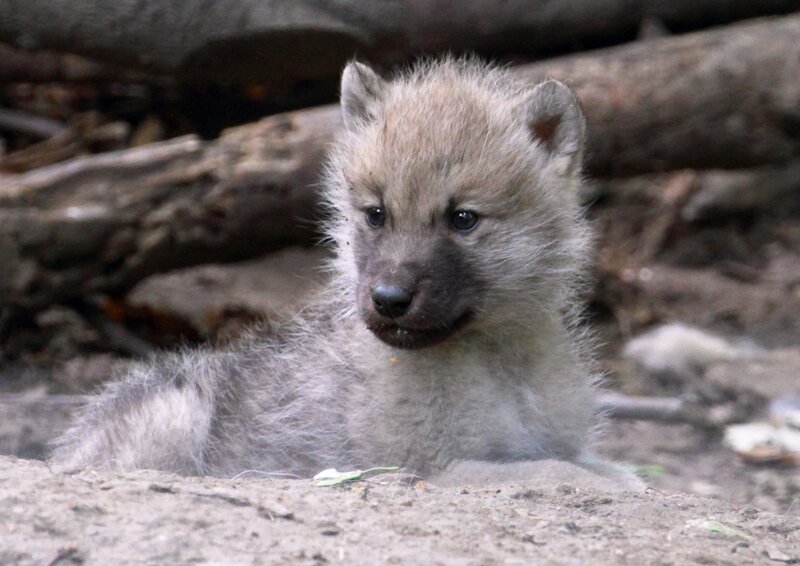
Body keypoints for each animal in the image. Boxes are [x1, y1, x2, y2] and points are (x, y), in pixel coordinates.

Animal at [52, 59, 638, 489]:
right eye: (376, 213)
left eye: (463, 219)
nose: (389, 299)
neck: (501, 362)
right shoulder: (430, 466)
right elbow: (551, 470)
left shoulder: (555, 440)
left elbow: (587, 462)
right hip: (175, 416)